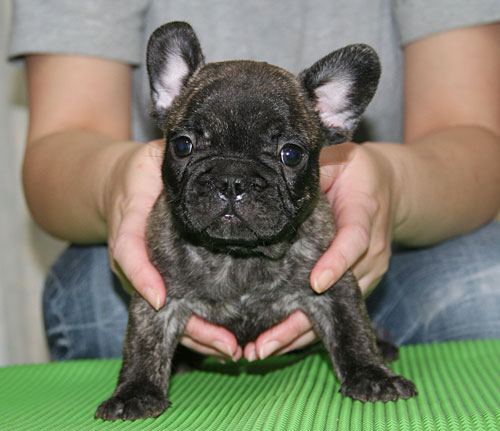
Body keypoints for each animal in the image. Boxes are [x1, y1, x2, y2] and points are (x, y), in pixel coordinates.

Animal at [95, 21, 416, 422]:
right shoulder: (156, 295)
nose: (232, 180)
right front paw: (135, 390)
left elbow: (352, 330)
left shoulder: (334, 284)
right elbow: (142, 342)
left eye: (290, 154)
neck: (238, 257)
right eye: (182, 146)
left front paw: (372, 374)